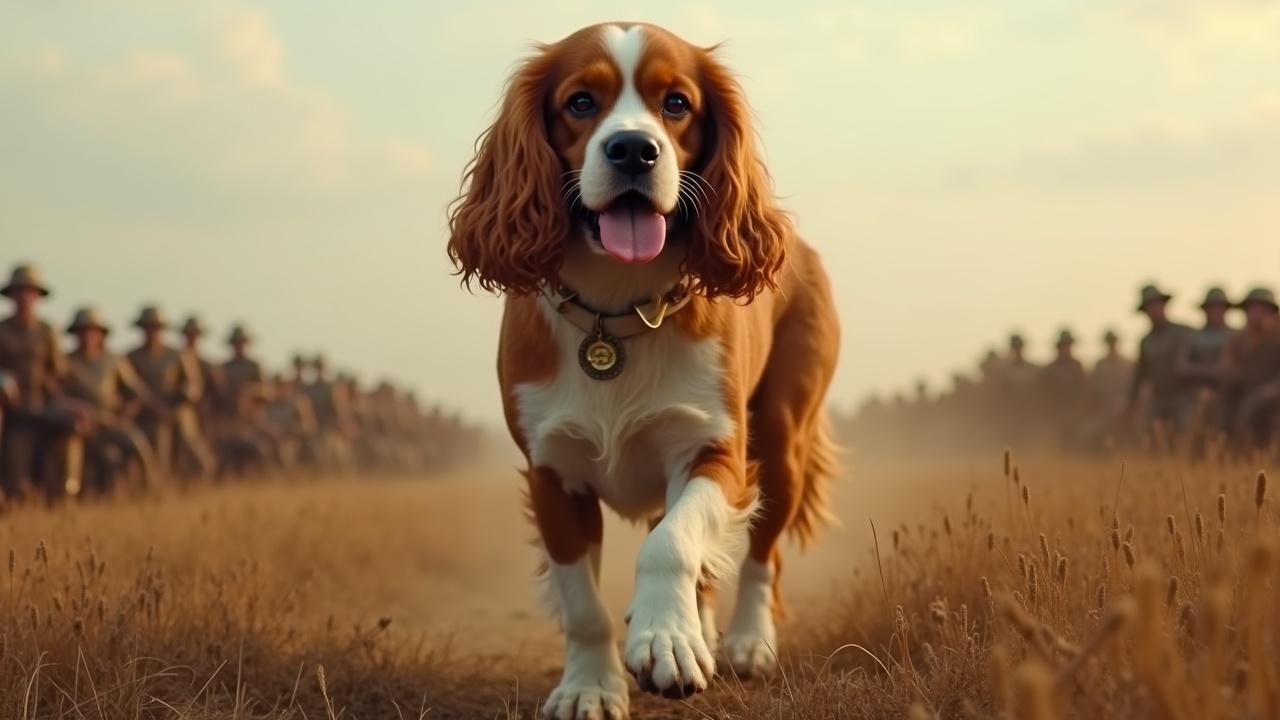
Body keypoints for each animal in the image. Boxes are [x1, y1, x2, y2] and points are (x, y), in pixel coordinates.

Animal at [448, 22, 839, 717]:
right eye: (580, 102)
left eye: (676, 103)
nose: (633, 149)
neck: (617, 311)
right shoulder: (551, 474)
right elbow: (583, 604)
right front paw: (590, 685)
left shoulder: (716, 451)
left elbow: (671, 545)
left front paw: (666, 641)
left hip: (783, 439)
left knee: (762, 557)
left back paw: (745, 642)